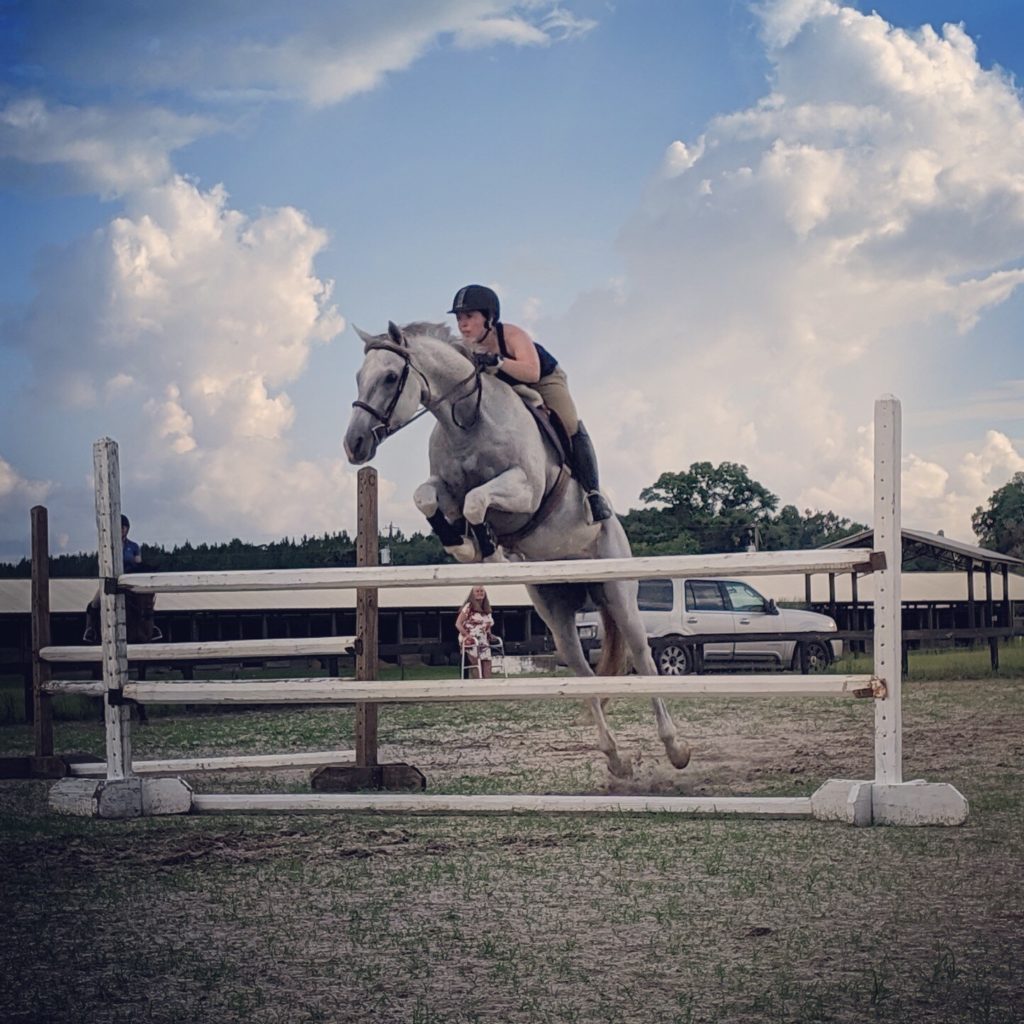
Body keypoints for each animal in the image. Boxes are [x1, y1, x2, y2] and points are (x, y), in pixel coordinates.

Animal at [342, 319, 688, 774]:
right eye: (358, 377)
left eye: (389, 377)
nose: (354, 445)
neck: (467, 421)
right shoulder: (444, 491)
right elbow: (427, 498)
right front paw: (463, 543)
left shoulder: (524, 489)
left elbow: (476, 501)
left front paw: (483, 546)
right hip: (554, 610)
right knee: (582, 670)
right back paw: (616, 758)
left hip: (618, 593)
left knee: (644, 658)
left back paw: (676, 748)